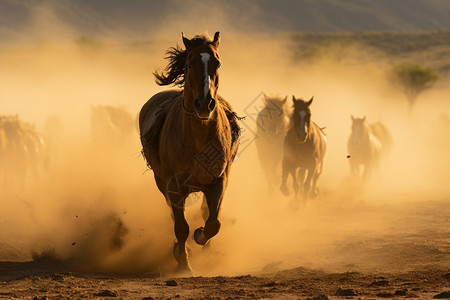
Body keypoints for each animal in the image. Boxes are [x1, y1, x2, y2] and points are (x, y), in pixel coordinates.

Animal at [139, 31, 241, 274]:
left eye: (217, 63)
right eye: (189, 63)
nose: (204, 104)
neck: (198, 138)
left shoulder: (218, 180)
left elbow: (213, 222)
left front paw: (201, 235)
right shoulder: (174, 186)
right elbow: (181, 227)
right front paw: (184, 265)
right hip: (162, 183)